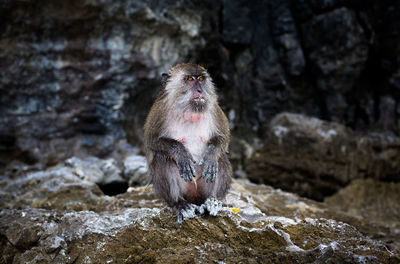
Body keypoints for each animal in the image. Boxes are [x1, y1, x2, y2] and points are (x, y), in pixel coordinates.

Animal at [144, 62, 233, 223]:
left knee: (221, 159)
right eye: (190, 79)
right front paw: (181, 154)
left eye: (201, 79)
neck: (190, 110)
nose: (199, 90)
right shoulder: (160, 110)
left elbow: (223, 138)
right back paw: (179, 203)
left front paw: (211, 155)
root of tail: (194, 197)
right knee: (163, 159)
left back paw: (212, 200)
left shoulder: (214, 107)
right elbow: (152, 141)